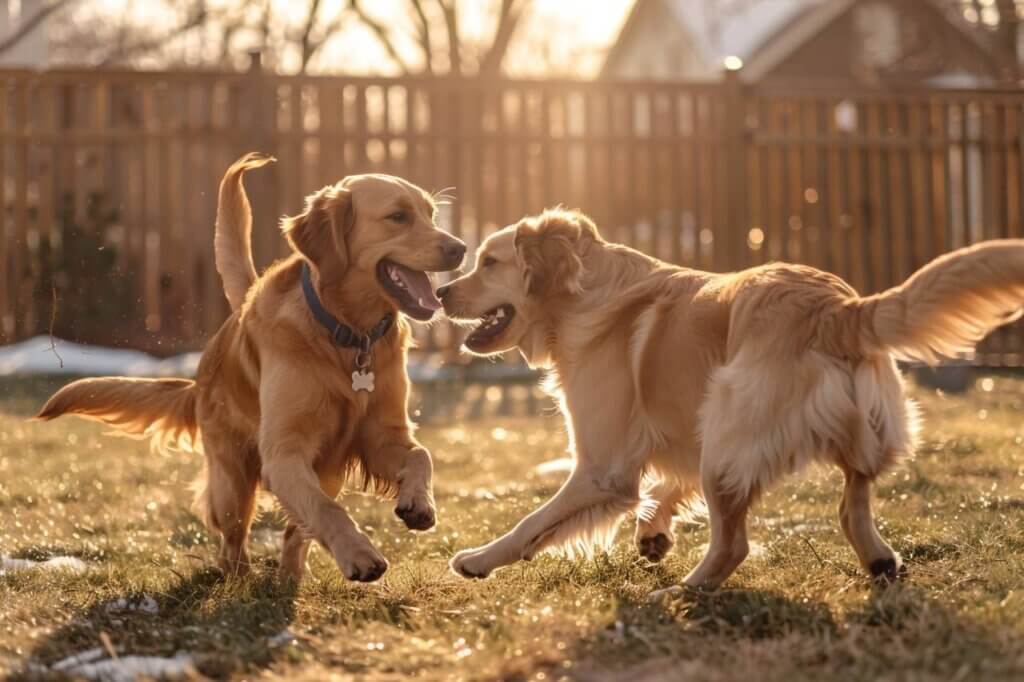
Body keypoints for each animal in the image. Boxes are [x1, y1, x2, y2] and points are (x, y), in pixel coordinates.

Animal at [33, 152, 464, 577]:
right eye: (398, 216)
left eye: (431, 214)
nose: (459, 248)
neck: (347, 334)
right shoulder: (284, 452)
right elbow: (327, 510)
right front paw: (359, 554)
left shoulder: (381, 435)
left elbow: (420, 456)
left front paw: (419, 502)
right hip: (232, 482)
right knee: (233, 542)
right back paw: (241, 580)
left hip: (324, 472)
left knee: (296, 532)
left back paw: (291, 578)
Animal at [438, 209, 1024, 593]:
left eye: (489, 262)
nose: (441, 293)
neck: (585, 295)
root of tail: (837, 307)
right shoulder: (678, 429)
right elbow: (667, 483)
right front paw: (653, 532)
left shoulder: (603, 469)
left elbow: (532, 523)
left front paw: (479, 560)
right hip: (834, 432)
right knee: (851, 502)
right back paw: (879, 561)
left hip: (725, 426)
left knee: (733, 544)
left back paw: (685, 591)